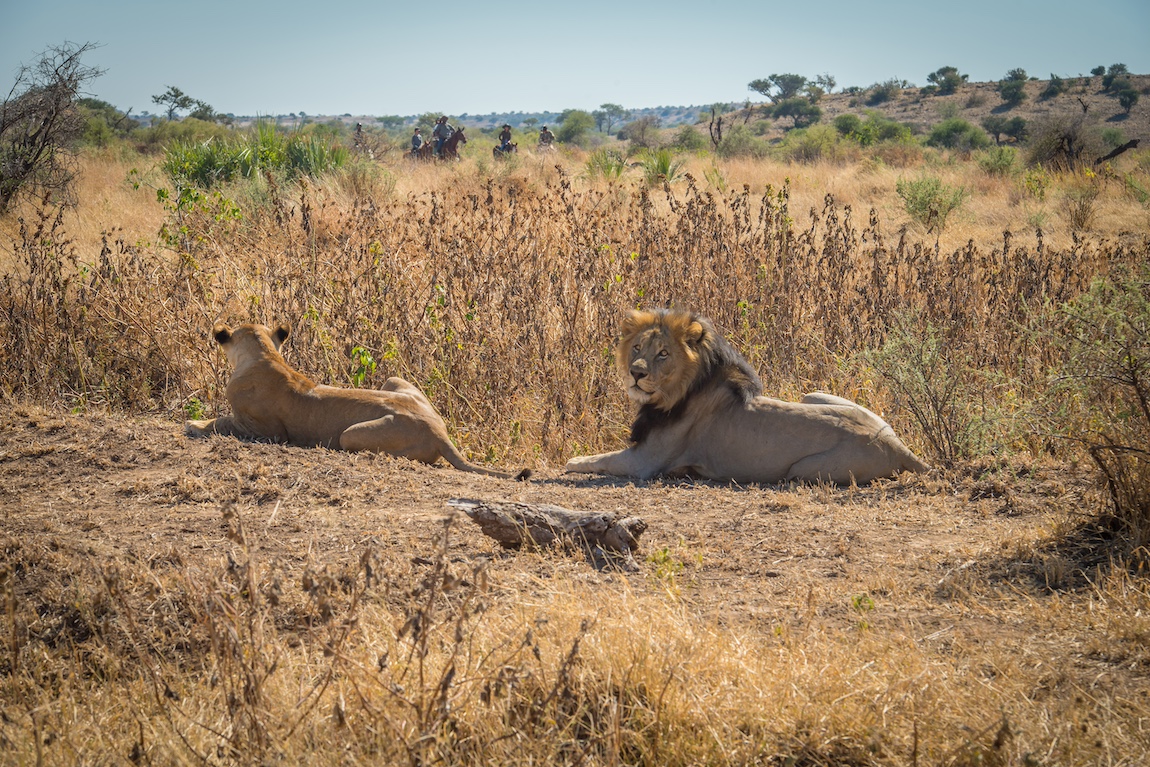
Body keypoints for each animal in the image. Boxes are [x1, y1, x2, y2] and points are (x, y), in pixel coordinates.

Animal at [186, 321, 526, 480]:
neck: (263, 354)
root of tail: (440, 431)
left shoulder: (264, 430)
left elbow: (222, 420)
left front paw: (194, 423)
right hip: (395, 381)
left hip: (350, 435)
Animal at [563, 308, 924, 482]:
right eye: (637, 347)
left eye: (663, 354)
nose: (636, 373)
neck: (679, 390)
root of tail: (896, 444)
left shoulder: (645, 462)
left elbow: (599, 458)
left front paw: (572, 462)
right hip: (813, 394)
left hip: (803, 471)